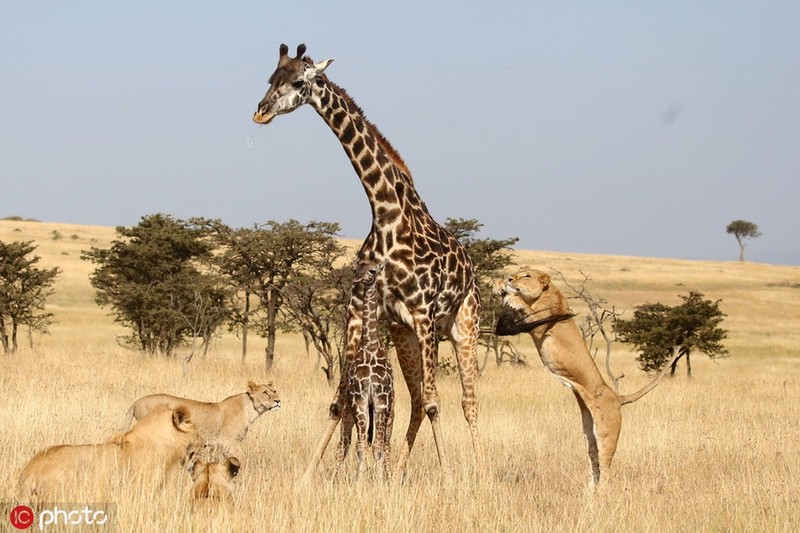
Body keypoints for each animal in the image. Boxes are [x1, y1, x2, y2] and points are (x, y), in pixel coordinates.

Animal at [121, 380, 278, 442]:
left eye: (274, 391)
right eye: (265, 392)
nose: (278, 400)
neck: (251, 410)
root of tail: (136, 402)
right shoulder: (229, 441)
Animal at [338, 258, 394, 478]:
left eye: (373, 270)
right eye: (356, 268)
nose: (357, 279)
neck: (370, 347)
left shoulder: (381, 400)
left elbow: (377, 448)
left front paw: (378, 481)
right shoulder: (360, 399)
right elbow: (361, 447)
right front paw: (359, 480)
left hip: (390, 411)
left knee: (385, 444)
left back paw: (388, 476)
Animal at [494, 268, 676, 488]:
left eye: (526, 275)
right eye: (519, 271)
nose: (510, 278)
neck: (546, 294)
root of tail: (617, 398)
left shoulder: (539, 326)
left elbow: (524, 307)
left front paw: (511, 296)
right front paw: (498, 286)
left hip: (607, 435)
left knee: (605, 469)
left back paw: (601, 493)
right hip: (589, 436)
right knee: (593, 462)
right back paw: (588, 492)